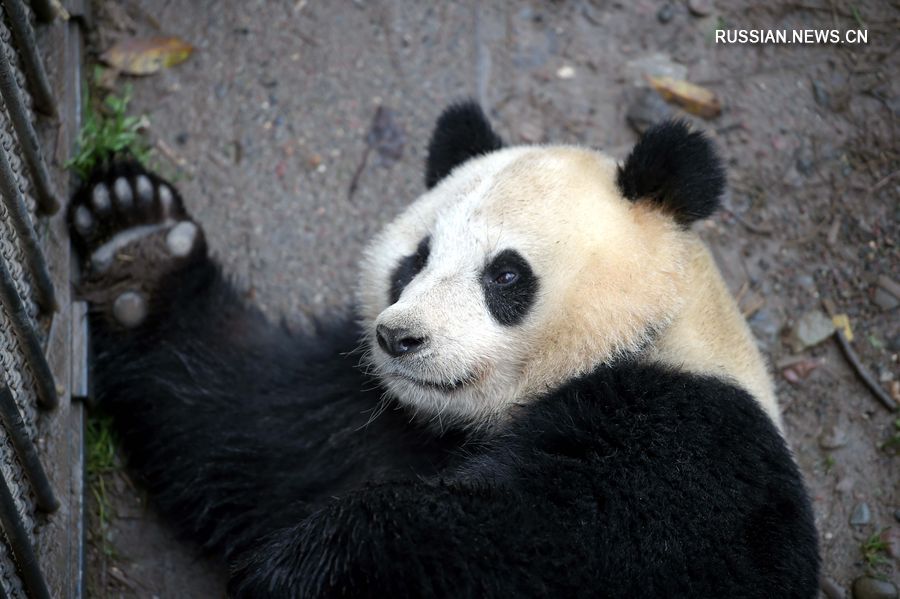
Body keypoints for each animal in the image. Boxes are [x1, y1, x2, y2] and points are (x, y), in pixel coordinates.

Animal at [68, 102, 819, 598]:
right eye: (415, 261)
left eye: (505, 275)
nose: (399, 338)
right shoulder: (379, 415)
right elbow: (251, 434)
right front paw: (138, 251)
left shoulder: (687, 442)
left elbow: (547, 547)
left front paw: (314, 567)